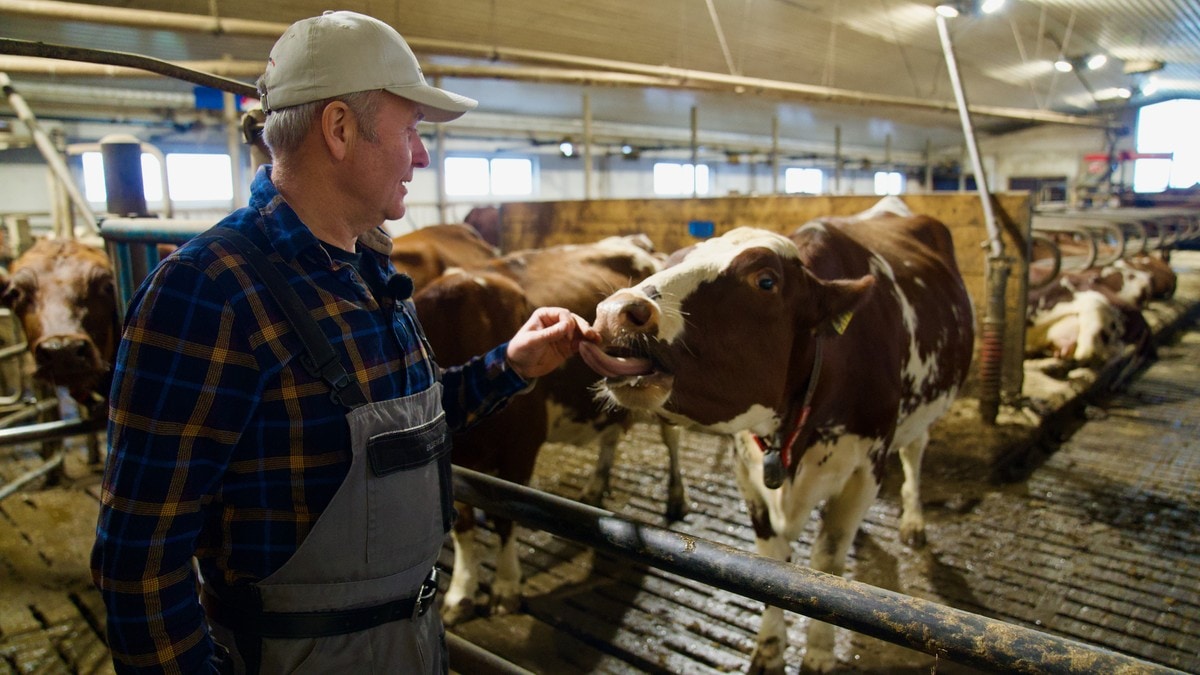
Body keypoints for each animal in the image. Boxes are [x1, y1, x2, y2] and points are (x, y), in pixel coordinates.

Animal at [580, 201, 974, 667]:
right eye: (670, 261)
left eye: (765, 281)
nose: (615, 311)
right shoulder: (746, 469)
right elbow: (771, 563)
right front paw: (769, 647)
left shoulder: (866, 467)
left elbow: (829, 567)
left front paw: (819, 652)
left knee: (914, 452)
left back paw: (913, 520)